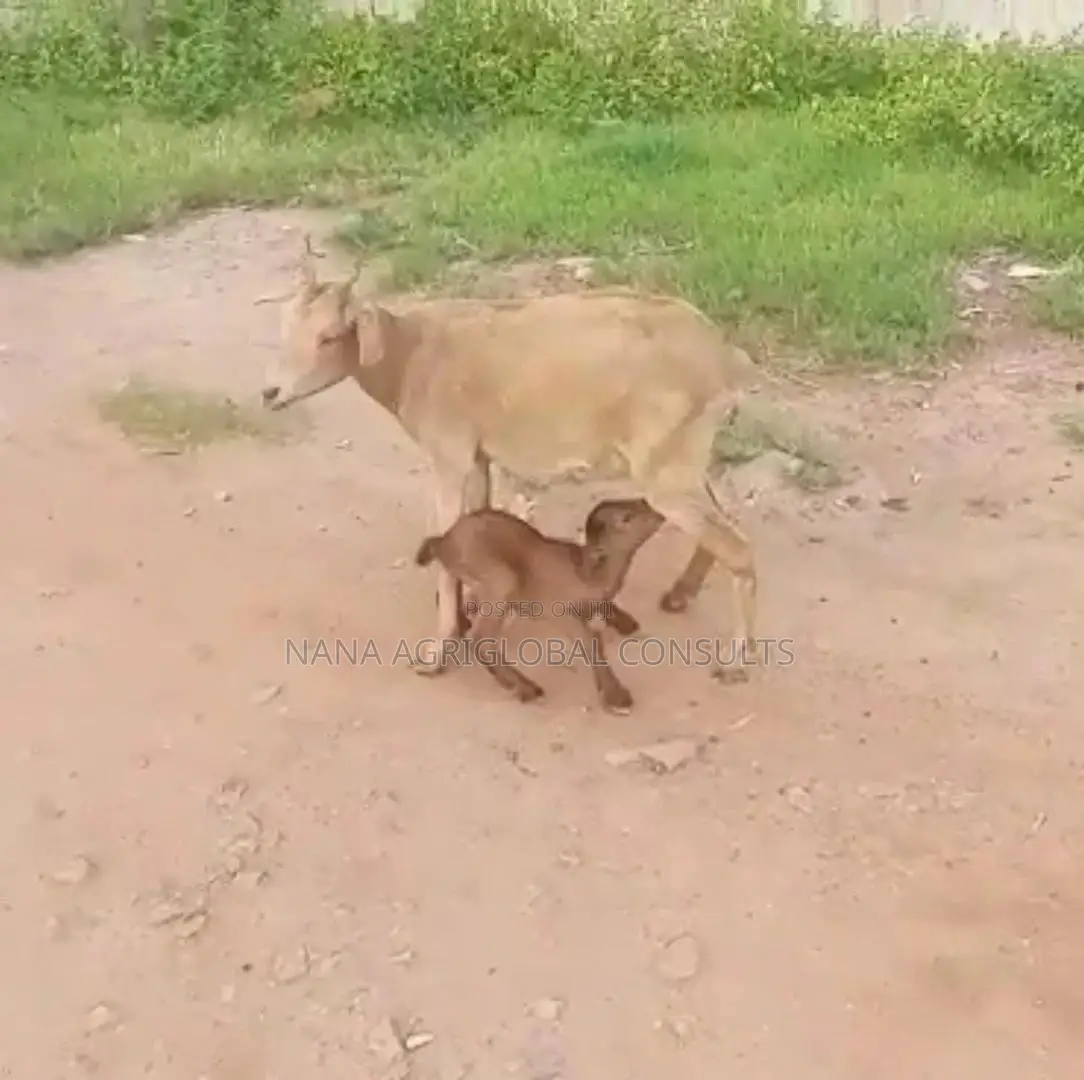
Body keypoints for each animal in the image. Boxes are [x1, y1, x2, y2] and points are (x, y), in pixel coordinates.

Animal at [259, 238, 762, 684]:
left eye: (329, 336)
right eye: (285, 327)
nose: (270, 392)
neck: (412, 356)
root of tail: (726, 359)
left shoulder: (448, 455)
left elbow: (442, 538)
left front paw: (436, 653)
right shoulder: (478, 458)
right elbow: (474, 519)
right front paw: (468, 615)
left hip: (666, 471)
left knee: (738, 547)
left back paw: (737, 662)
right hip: (684, 458)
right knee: (722, 520)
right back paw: (680, 594)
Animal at [414, 498, 664, 713]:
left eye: (643, 502)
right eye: (626, 518)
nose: (659, 517)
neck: (588, 574)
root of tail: (442, 541)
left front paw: (625, 623)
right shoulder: (562, 613)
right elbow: (592, 643)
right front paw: (617, 697)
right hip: (501, 580)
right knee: (481, 640)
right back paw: (526, 689)